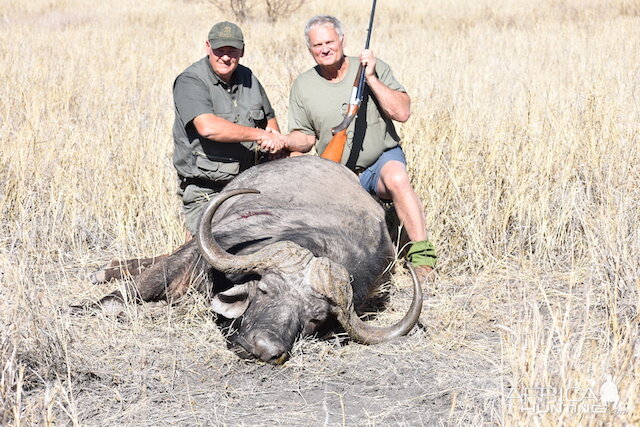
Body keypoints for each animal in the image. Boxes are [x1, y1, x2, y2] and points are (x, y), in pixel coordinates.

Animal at [86, 157, 424, 364]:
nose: (263, 349)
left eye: (314, 318)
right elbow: (125, 296)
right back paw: (106, 270)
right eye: (264, 290)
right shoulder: (197, 250)